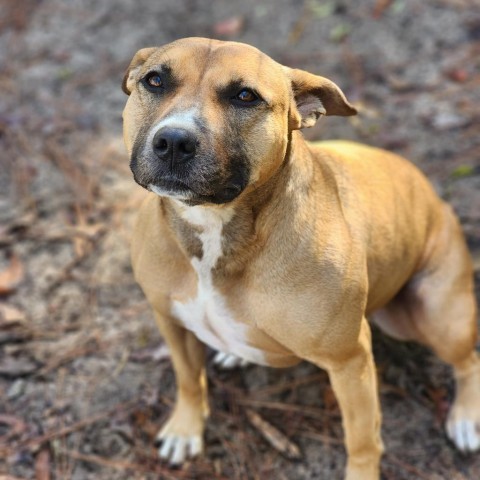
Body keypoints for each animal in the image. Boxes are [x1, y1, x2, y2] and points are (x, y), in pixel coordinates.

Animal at [122, 38, 478, 480]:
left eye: (245, 96)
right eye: (155, 80)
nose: (173, 140)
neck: (214, 229)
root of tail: (434, 197)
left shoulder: (349, 359)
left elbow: (362, 438)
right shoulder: (168, 319)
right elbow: (188, 378)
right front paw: (185, 429)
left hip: (434, 316)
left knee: (468, 360)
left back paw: (466, 418)